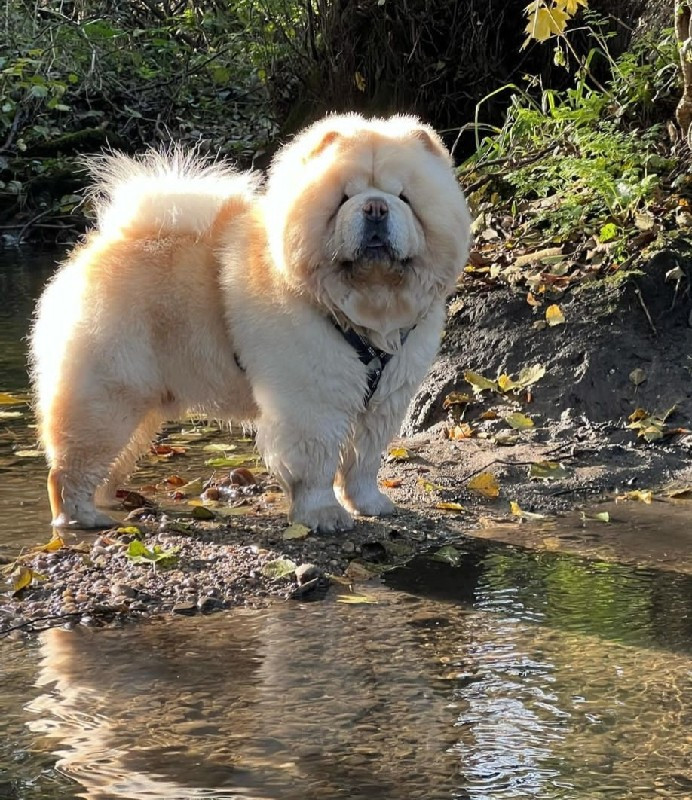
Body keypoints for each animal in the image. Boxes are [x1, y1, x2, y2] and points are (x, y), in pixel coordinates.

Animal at [31, 114, 470, 532]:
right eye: (343, 198)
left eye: (404, 198)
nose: (376, 207)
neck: (366, 311)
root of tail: (105, 243)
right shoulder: (312, 398)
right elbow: (316, 464)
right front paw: (323, 515)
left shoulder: (384, 401)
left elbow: (363, 461)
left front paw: (369, 504)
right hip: (107, 393)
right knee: (70, 467)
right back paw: (82, 517)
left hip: (137, 405)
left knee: (108, 462)